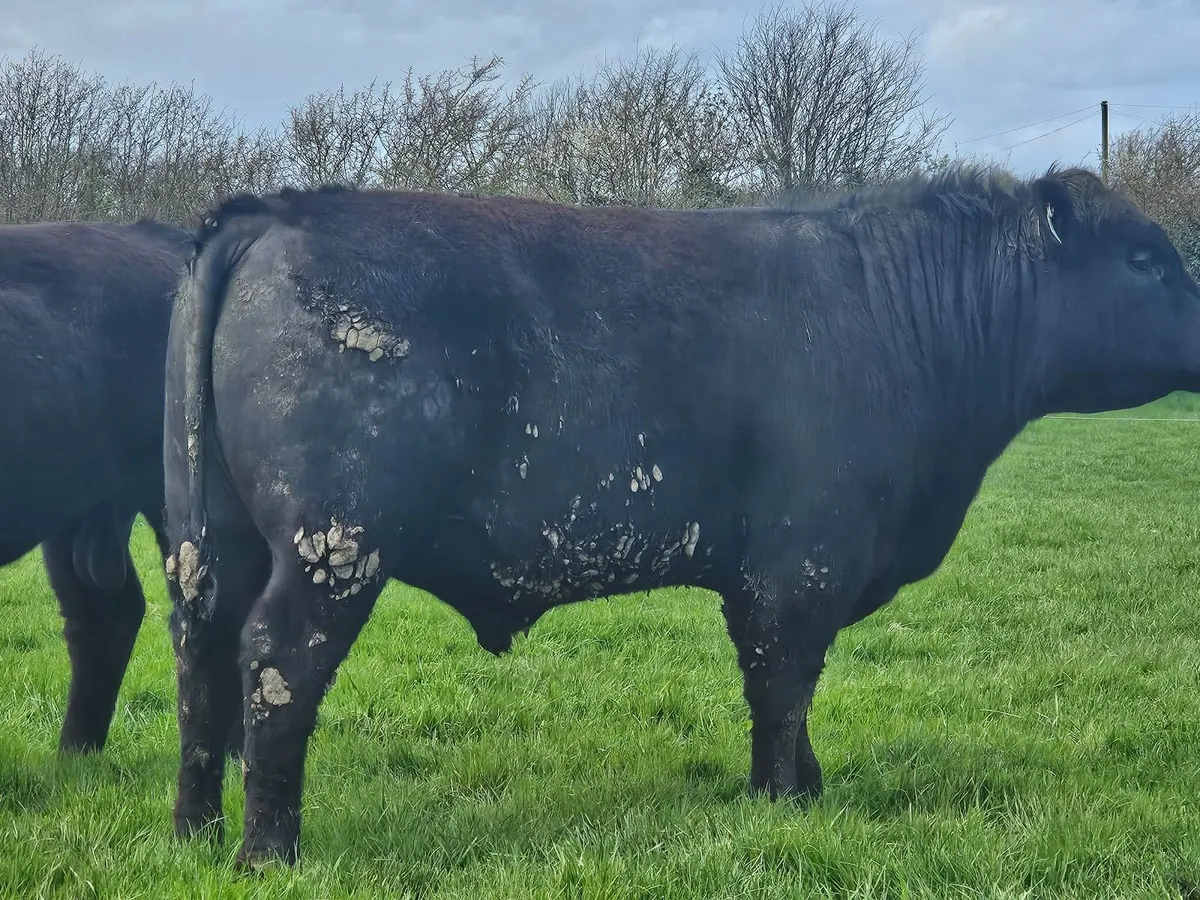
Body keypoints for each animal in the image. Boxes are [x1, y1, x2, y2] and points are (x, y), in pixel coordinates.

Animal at [161, 165, 1200, 869]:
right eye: (1147, 260)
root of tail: (277, 209)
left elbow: (790, 693)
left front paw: (810, 789)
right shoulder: (800, 567)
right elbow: (782, 688)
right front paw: (781, 803)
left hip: (213, 543)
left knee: (202, 658)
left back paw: (194, 830)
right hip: (333, 545)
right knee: (275, 663)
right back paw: (268, 851)